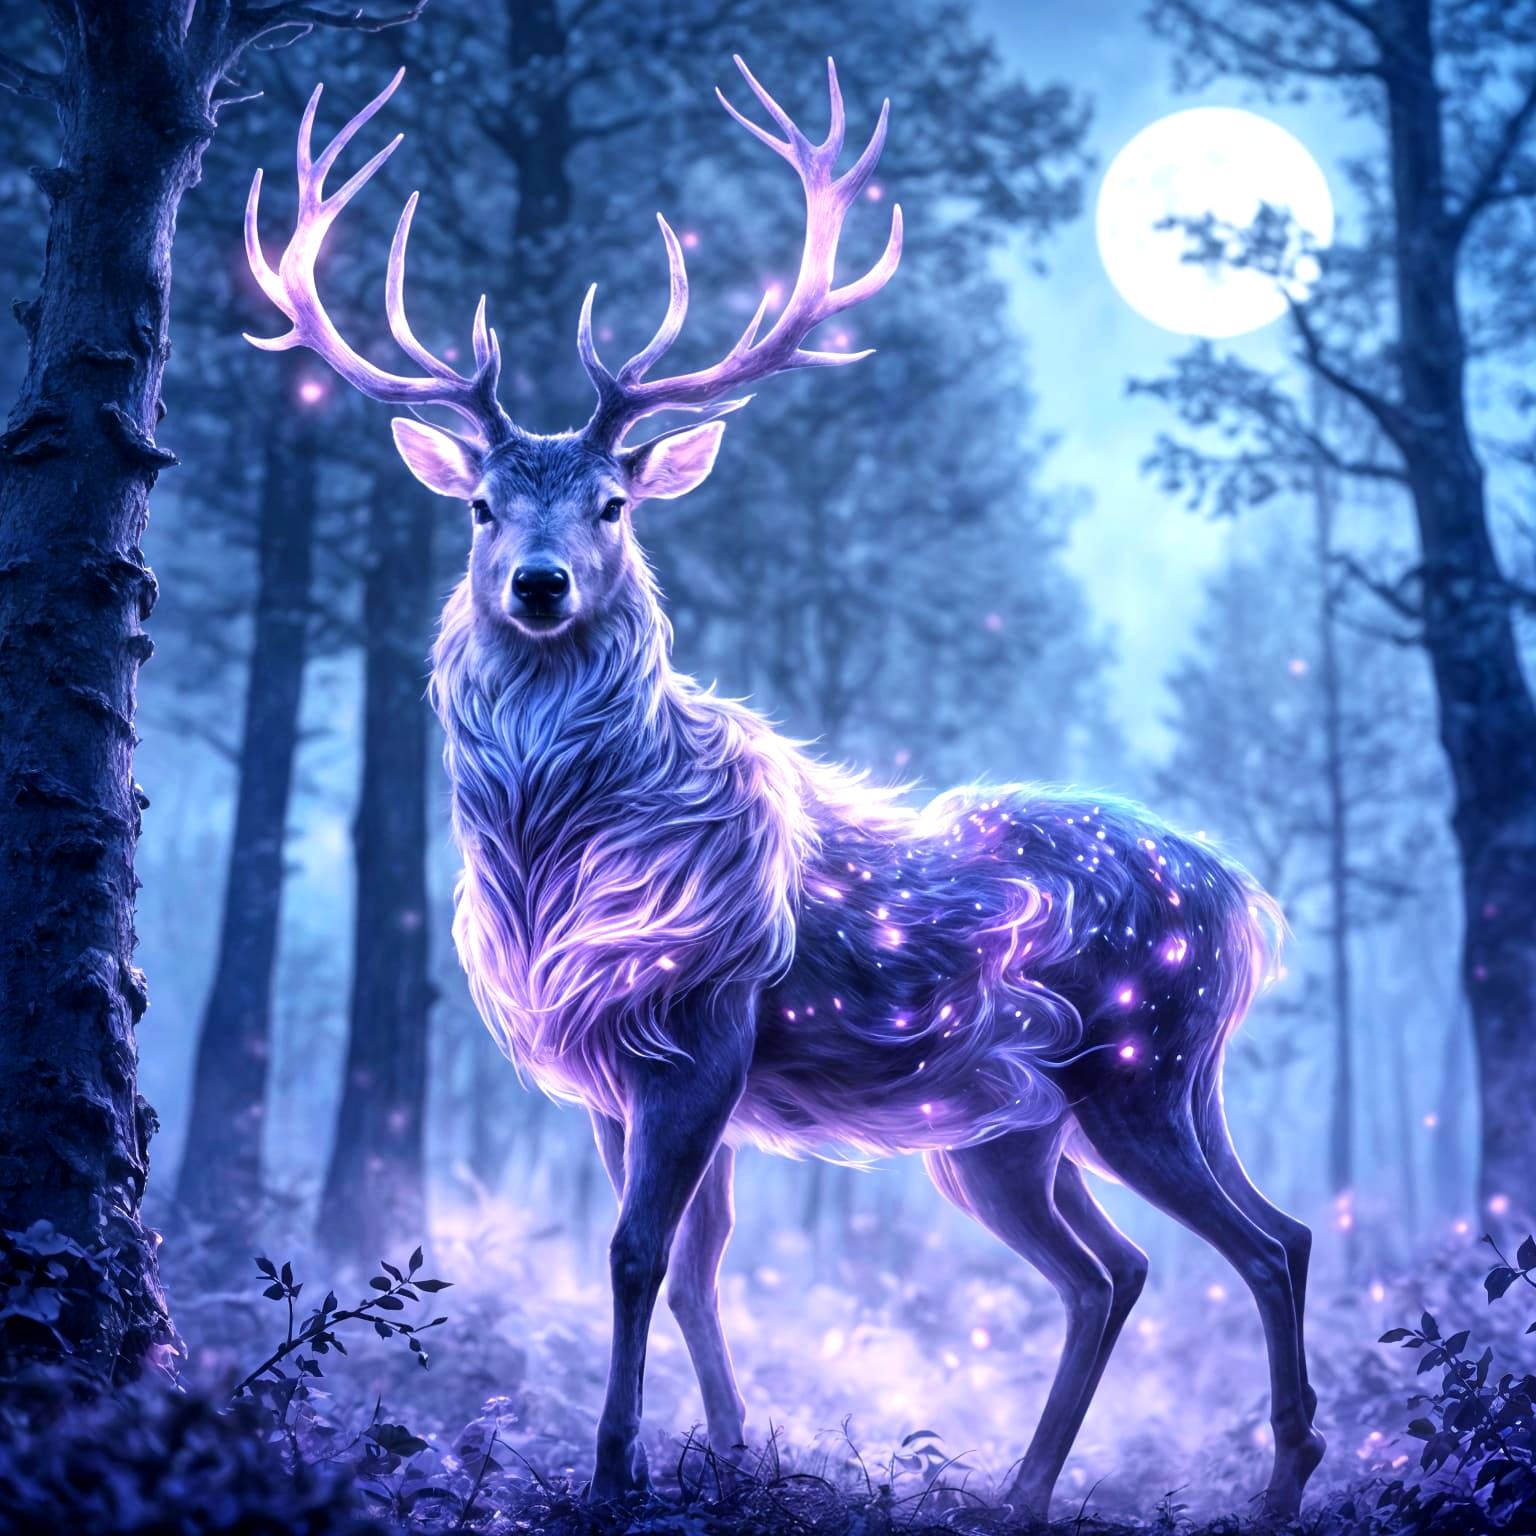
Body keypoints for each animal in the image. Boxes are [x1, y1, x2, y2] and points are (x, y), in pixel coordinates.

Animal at [243, 59, 1325, 1518]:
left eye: (614, 503)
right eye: (477, 506)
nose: (539, 584)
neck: (557, 864)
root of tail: (1247, 905)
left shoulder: (702, 1026)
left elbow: (638, 1256)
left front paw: (617, 1471)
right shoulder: (617, 1071)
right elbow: (692, 1268)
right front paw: (724, 1450)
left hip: (1136, 1065)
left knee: (1264, 1243)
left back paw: (1272, 1484)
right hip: (1018, 1129)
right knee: (1134, 1267)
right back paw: (1023, 1489)